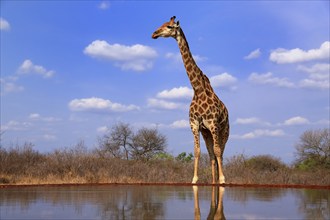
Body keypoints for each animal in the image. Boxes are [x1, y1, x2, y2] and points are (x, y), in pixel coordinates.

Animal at [152, 16, 229, 184]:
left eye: (169, 26)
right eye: (162, 24)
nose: (154, 34)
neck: (198, 90)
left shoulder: (213, 124)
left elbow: (218, 151)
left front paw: (223, 180)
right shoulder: (195, 125)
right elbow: (197, 151)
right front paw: (194, 179)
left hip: (223, 130)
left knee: (220, 151)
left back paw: (219, 179)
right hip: (207, 133)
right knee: (212, 155)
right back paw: (213, 181)